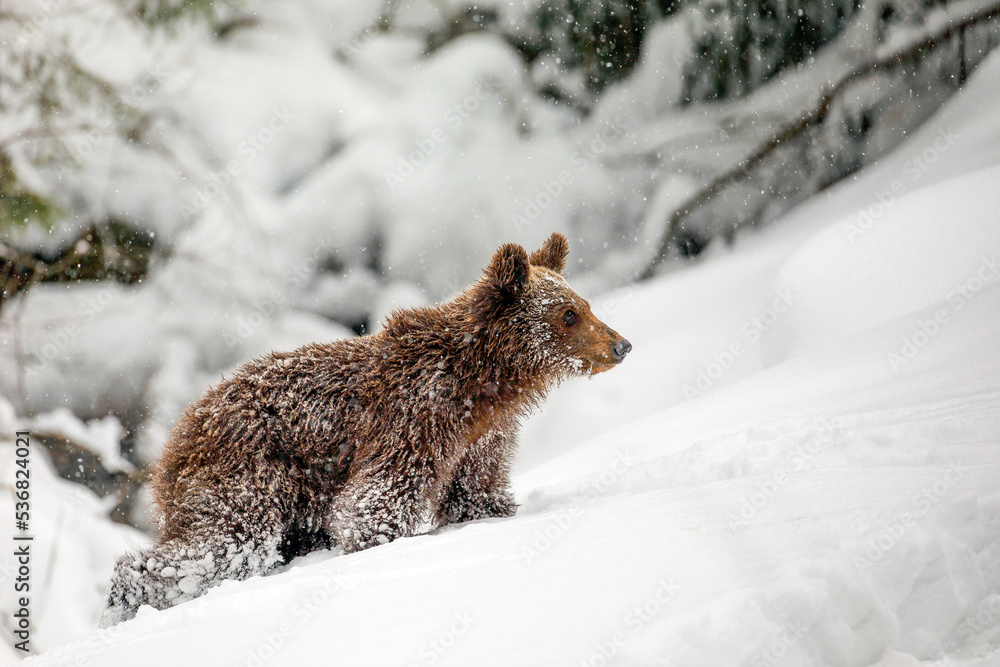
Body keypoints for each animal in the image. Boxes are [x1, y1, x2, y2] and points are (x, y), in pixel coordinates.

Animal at [100, 232, 631, 626]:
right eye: (569, 314)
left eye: (584, 303)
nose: (621, 344)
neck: (482, 385)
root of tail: (176, 439)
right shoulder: (414, 419)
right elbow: (375, 502)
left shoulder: (482, 440)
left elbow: (474, 494)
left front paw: (491, 514)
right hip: (251, 474)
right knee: (224, 545)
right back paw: (125, 598)